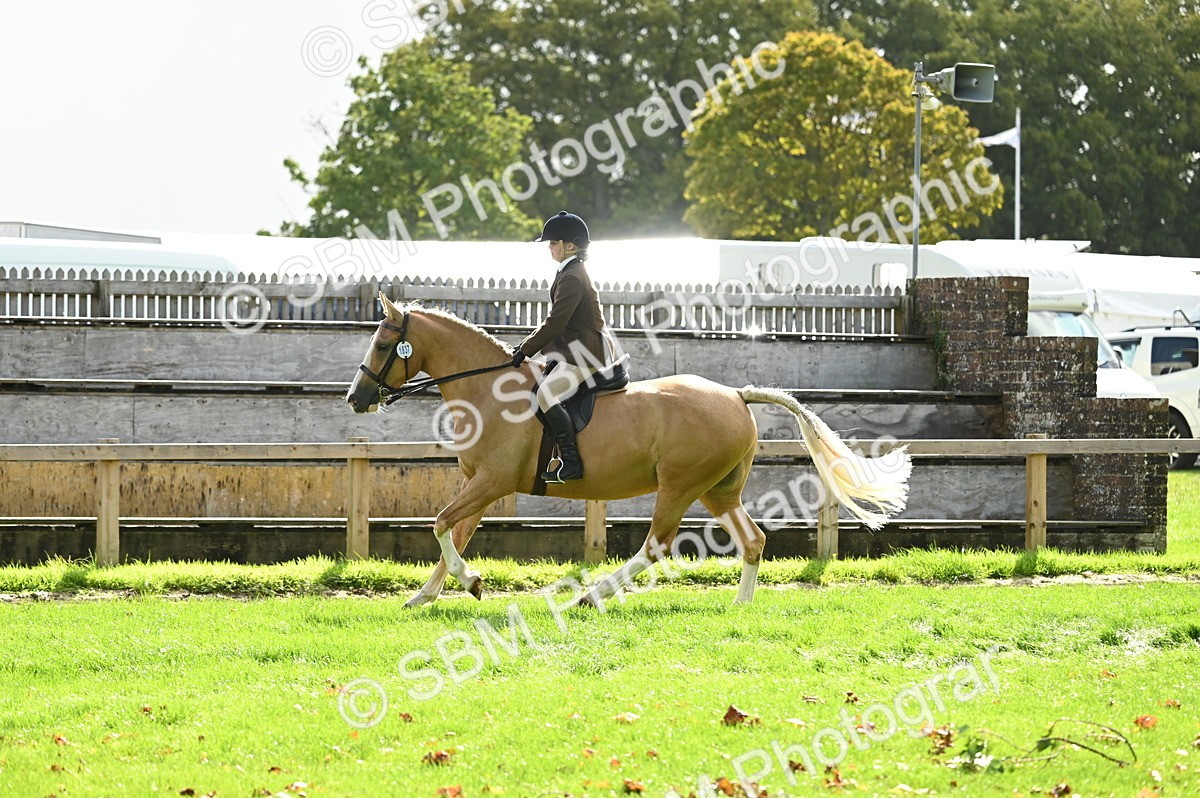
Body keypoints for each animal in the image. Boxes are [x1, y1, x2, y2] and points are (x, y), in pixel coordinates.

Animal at [345, 293, 911, 608]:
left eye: (382, 344)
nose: (355, 399)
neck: (489, 390)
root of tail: (736, 394)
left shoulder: (492, 482)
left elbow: (441, 524)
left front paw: (470, 582)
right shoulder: (478, 484)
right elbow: (454, 533)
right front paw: (428, 594)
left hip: (680, 485)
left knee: (656, 545)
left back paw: (591, 595)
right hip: (718, 490)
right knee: (752, 541)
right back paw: (740, 604)